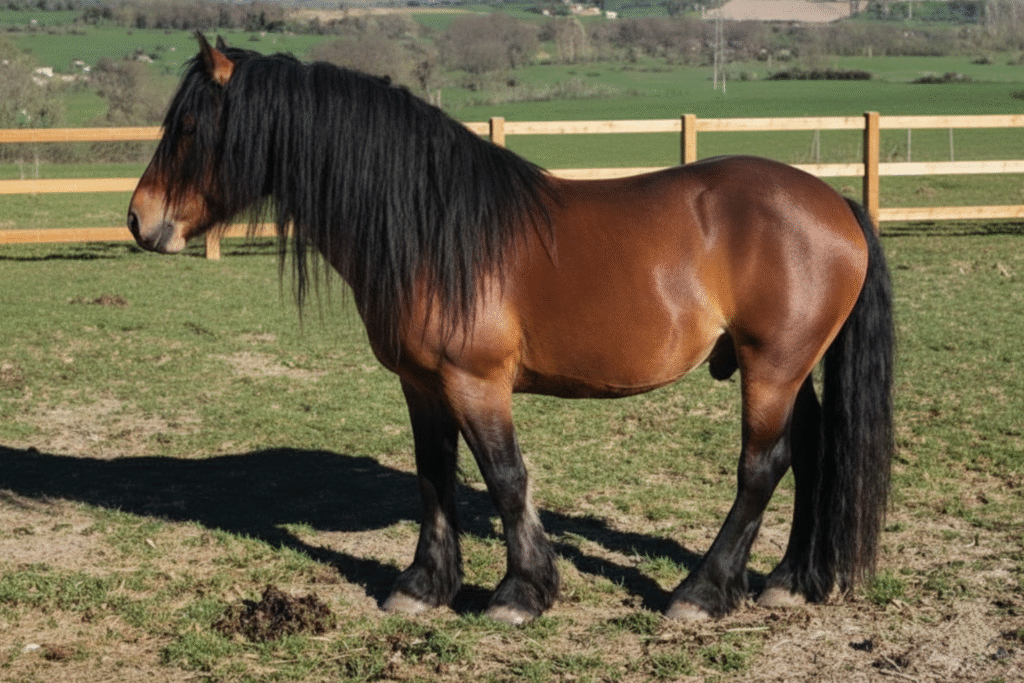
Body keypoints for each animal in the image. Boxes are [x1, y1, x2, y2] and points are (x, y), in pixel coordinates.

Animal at [128, 34, 894, 625]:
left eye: (189, 128)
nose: (139, 220)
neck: (433, 227)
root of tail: (835, 202)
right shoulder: (422, 384)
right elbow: (434, 474)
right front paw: (424, 586)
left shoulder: (477, 382)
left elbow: (505, 476)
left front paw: (521, 593)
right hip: (790, 369)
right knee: (812, 452)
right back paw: (788, 582)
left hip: (773, 368)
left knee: (761, 467)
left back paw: (702, 592)